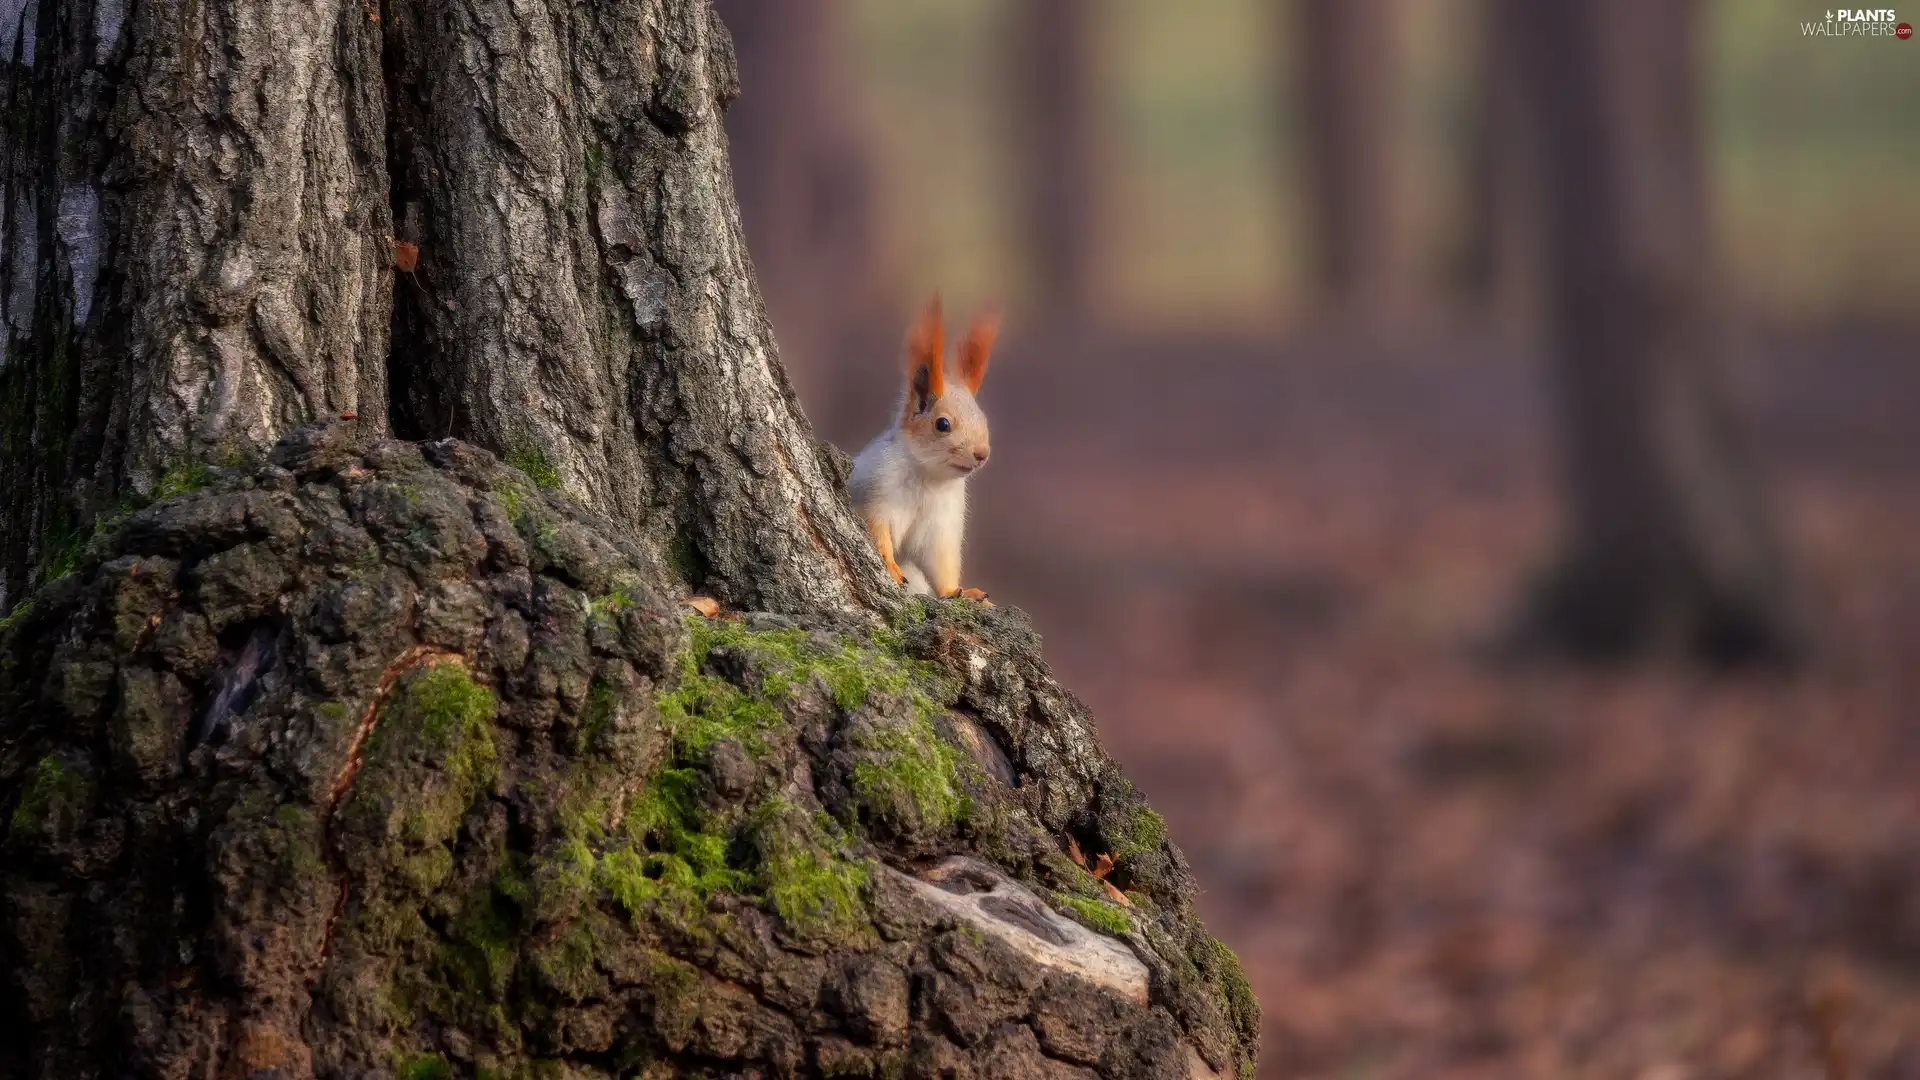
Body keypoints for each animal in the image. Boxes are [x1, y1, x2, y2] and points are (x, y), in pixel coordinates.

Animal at [856, 294, 1006, 595]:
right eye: (942, 424)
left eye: (983, 418)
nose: (982, 454)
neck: (927, 477)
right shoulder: (875, 491)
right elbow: (877, 531)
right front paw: (890, 564)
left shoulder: (942, 526)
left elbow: (941, 564)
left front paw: (958, 592)